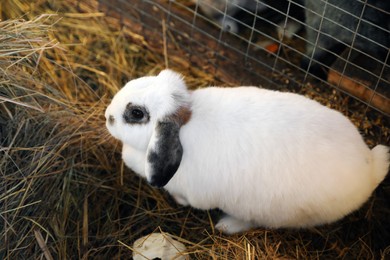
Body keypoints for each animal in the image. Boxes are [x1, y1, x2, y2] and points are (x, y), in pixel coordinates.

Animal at [105, 70, 388, 235]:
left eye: (136, 113)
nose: (108, 116)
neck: (186, 124)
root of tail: (369, 167)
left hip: (268, 211)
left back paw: (226, 225)